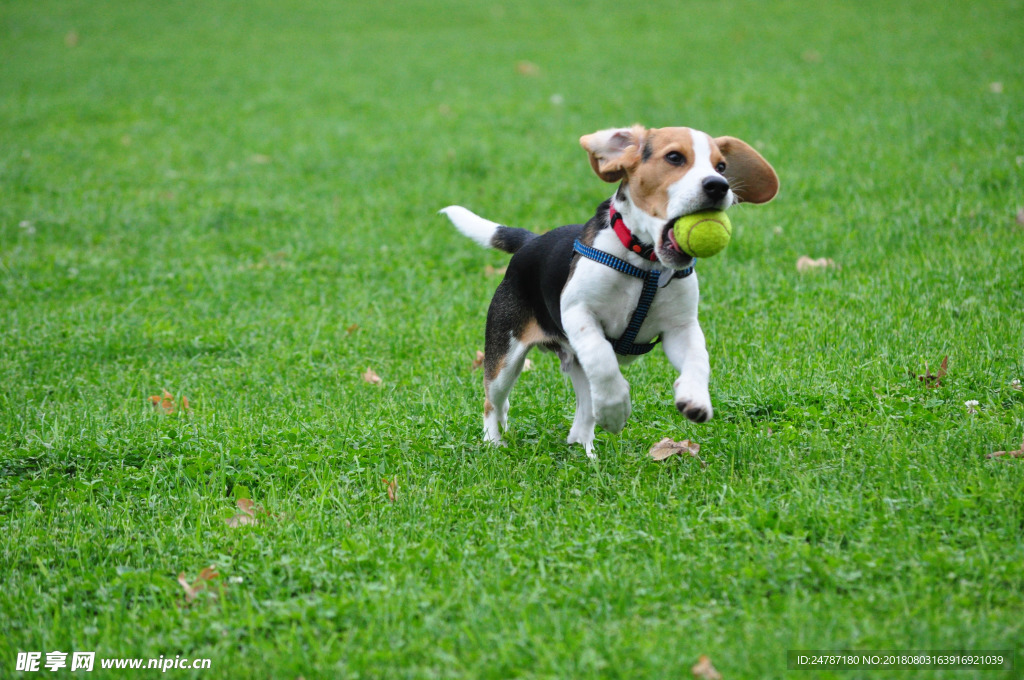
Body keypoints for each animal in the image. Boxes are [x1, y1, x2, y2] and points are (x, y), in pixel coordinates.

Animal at [438, 127, 774, 456]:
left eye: (721, 166)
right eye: (675, 157)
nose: (719, 186)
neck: (644, 262)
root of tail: (531, 241)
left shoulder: (681, 328)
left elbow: (697, 359)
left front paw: (695, 399)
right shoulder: (578, 312)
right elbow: (603, 358)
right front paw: (615, 410)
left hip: (572, 363)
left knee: (582, 405)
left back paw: (583, 446)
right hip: (505, 355)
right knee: (494, 401)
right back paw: (494, 441)